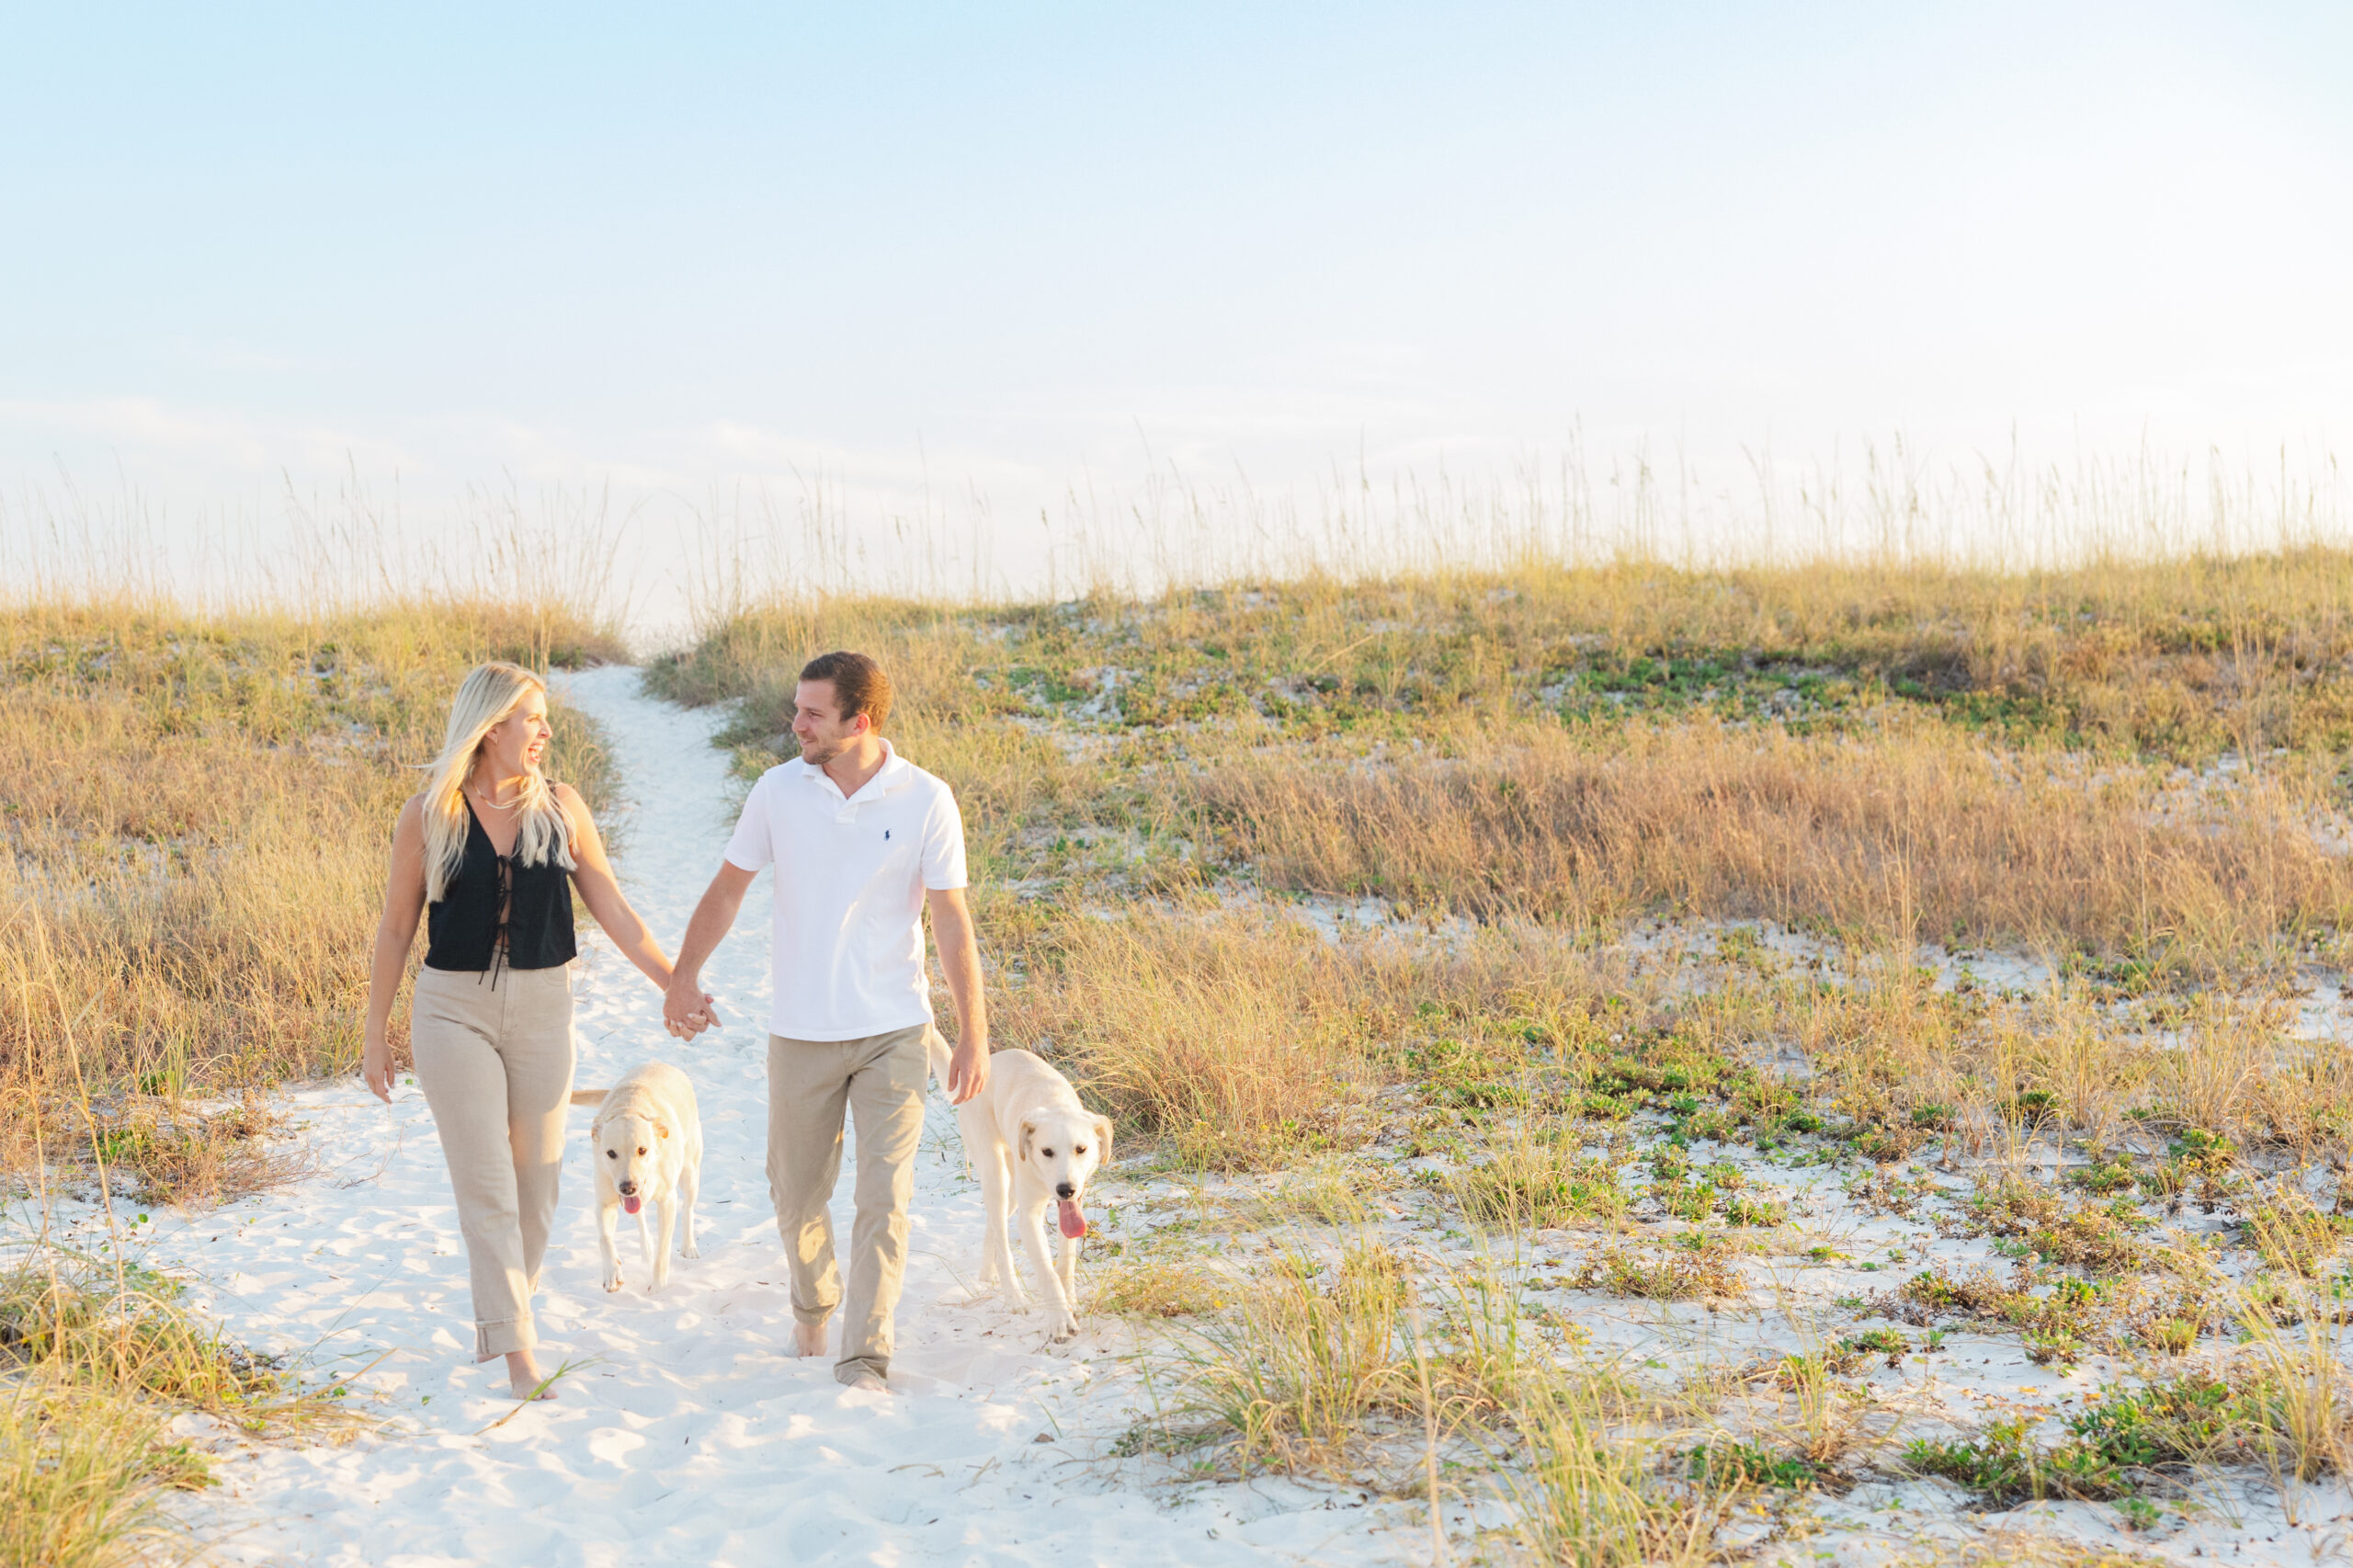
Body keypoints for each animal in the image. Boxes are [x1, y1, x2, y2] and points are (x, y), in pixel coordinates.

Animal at [566, 1063, 696, 1290]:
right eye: (610, 1153)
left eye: (642, 1150)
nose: (628, 1187)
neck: (629, 1107)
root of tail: (663, 1063)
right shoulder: (605, 1202)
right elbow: (605, 1238)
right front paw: (612, 1273)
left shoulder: (667, 1200)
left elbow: (663, 1248)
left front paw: (659, 1286)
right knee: (639, 1216)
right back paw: (646, 1248)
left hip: (690, 1170)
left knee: (688, 1207)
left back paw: (688, 1246)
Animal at [926, 1026, 1110, 1327]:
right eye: (1047, 1151)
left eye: (1081, 1149)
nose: (1065, 1190)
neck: (1055, 1104)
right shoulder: (1030, 1217)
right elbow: (1047, 1272)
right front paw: (1059, 1320)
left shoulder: (1074, 1207)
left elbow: (1066, 1262)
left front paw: (1070, 1302)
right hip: (995, 1175)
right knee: (1002, 1240)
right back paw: (1014, 1297)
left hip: (1012, 1195)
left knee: (993, 1224)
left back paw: (987, 1274)